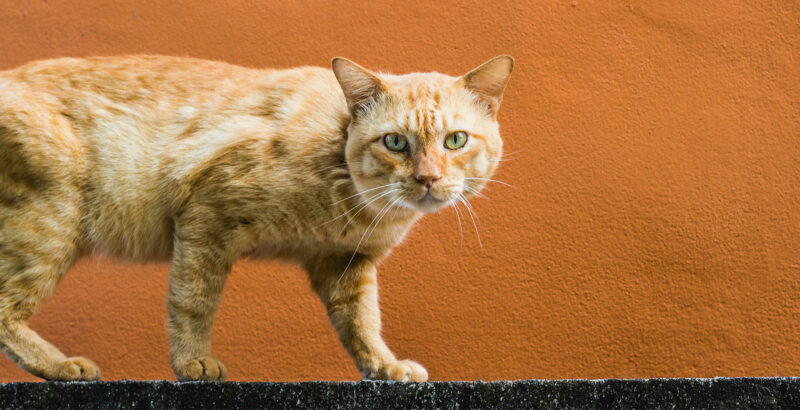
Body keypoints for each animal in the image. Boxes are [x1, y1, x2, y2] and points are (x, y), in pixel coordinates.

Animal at [0, 53, 512, 382]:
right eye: (395, 142)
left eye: (455, 140)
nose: (427, 178)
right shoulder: (207, 215)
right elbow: (193, 301)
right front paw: (192, 363)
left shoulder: (346, 264)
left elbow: (363, 322)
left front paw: (384, 366)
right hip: (48, 227)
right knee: (6, 309)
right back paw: (62, 366)